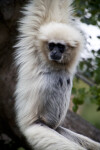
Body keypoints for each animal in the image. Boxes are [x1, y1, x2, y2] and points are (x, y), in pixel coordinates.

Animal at [14, 0, 100, 149]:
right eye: (51, 45)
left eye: (60, 47)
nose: (54, 52)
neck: (55, 65)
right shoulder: (35, 45)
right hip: (37, 129)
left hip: (57, 129)